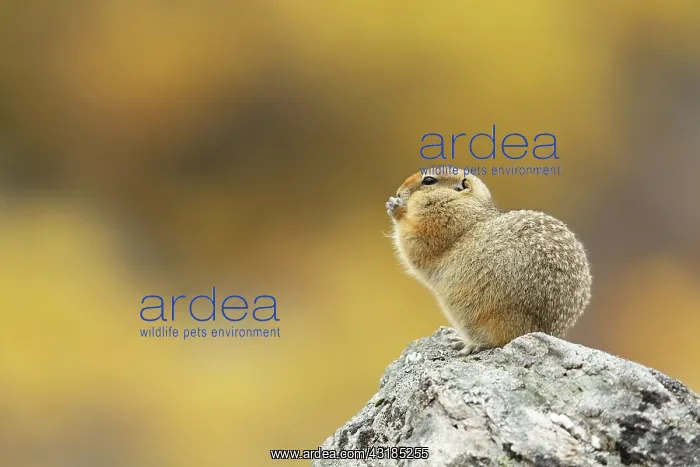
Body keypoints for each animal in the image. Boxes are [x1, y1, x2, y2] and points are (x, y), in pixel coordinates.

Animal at [386, 171, 591, 356]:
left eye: (429, 180)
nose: (398, 192)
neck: (470, 205)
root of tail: (551, 330)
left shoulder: (440, 223)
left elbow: (416, 243)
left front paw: (396, 208)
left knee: (500, 339)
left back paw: (469, 344)